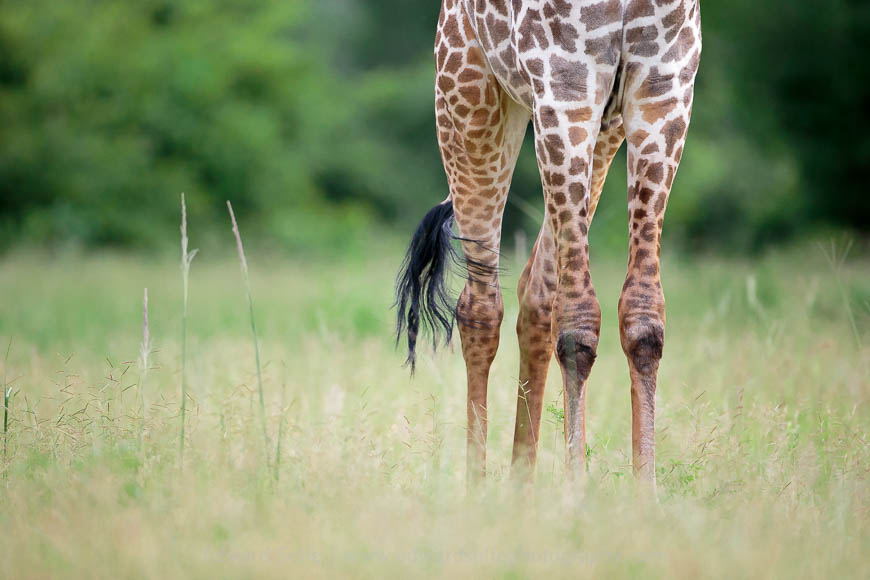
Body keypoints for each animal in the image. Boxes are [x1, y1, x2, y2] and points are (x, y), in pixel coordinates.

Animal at [396, 0, 701, 488]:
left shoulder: (664, 90)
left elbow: (644, 319)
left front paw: (645, 494)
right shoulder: (564, 86)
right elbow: (578, 323)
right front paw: (576, 492)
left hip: (603, 129)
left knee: (536, 293)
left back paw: (523, 488)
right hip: (468, 102)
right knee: (480, 305)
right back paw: (477, 489)